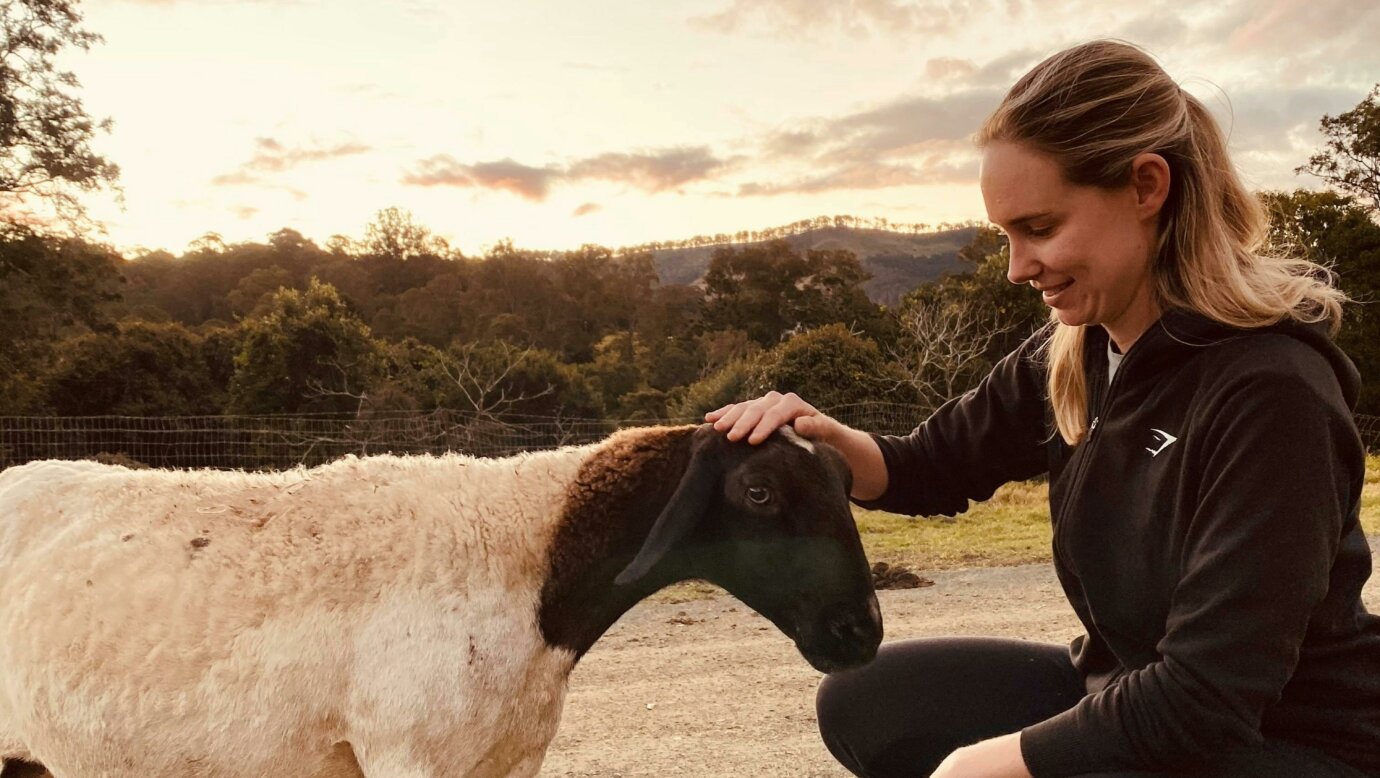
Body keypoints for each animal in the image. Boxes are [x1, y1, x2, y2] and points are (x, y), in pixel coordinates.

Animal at [0, 424, 877, 778]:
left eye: (845, 481)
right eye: (759, 491)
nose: (860, 631)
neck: (530, 569)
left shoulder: (506, 760)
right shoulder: (407, 753)